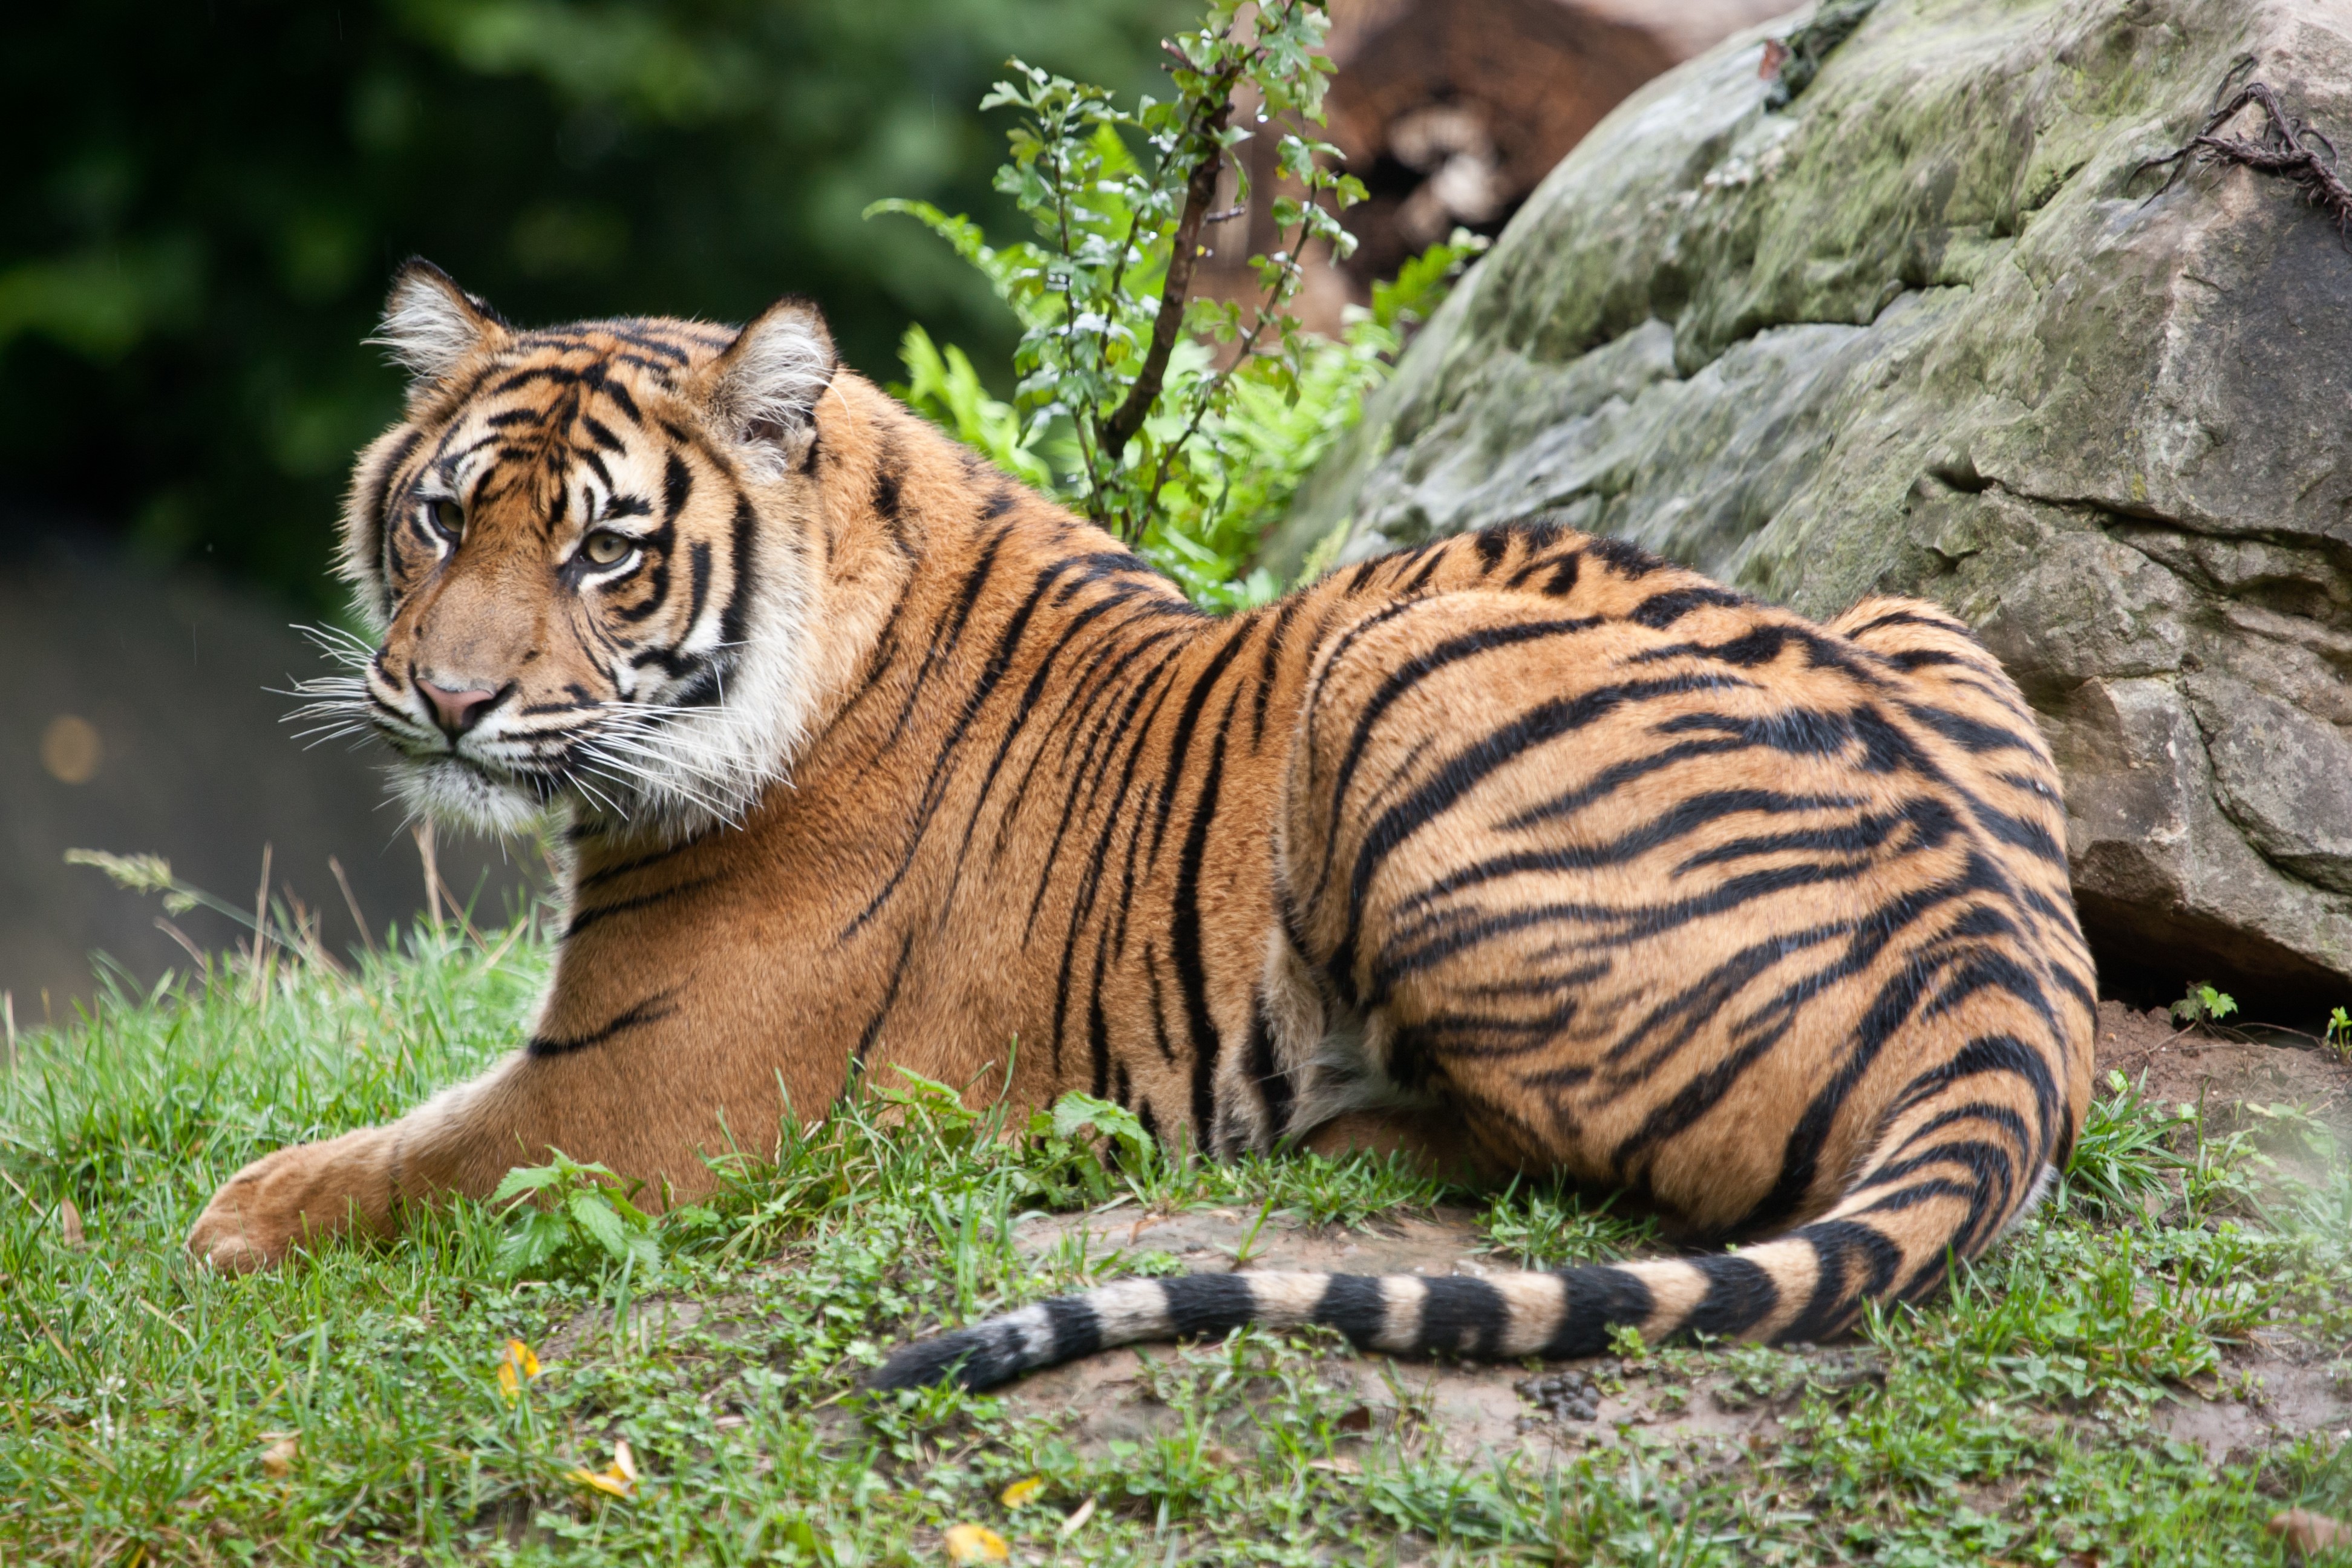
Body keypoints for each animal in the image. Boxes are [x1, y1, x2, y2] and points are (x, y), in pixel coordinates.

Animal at [187, 260, 2097, 1394]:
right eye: (443, 520)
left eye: (602, 550)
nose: (444, 699)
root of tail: (1999, 983)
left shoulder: (641, 1099)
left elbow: (391, 1162)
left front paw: (222, 1225)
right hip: (1912, 609)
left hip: (1387, 666)